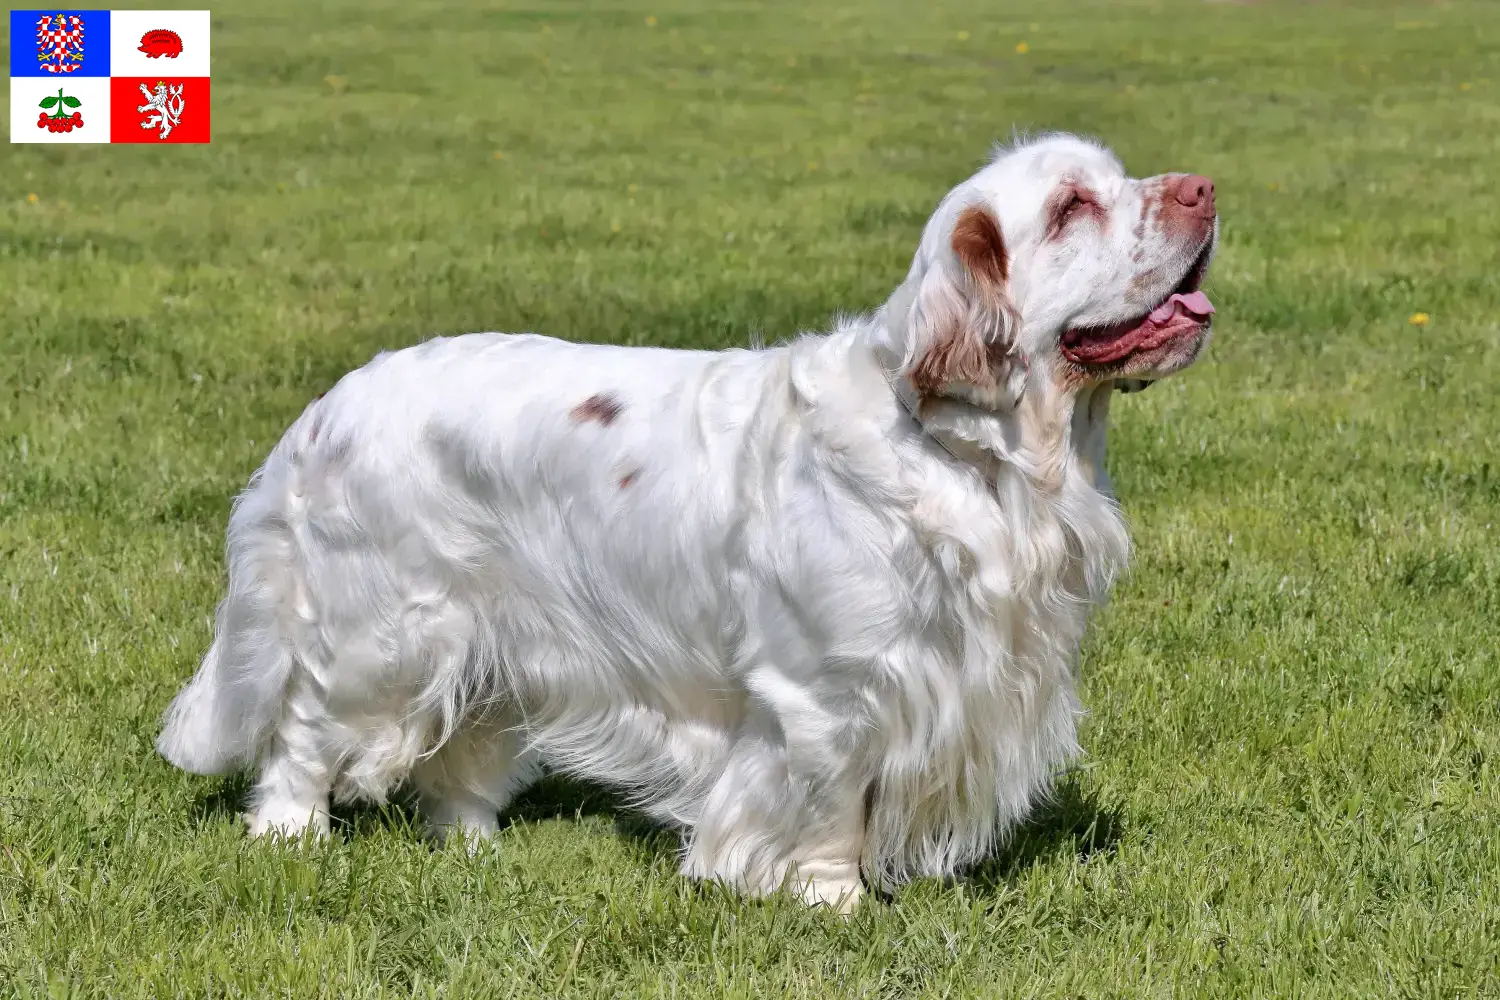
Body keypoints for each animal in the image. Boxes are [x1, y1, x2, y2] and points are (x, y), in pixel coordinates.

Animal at [158, 134, 1218, 917]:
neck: (972, 455)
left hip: (498, 635)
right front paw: (833, 903)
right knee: (304, 725)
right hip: (383, 631)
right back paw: (289, 831)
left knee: (461, 746)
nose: (1205, 189)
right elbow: (832, 804)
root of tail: (327, 406)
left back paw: (473, 846)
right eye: (1073, 207)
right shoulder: (825, 692)